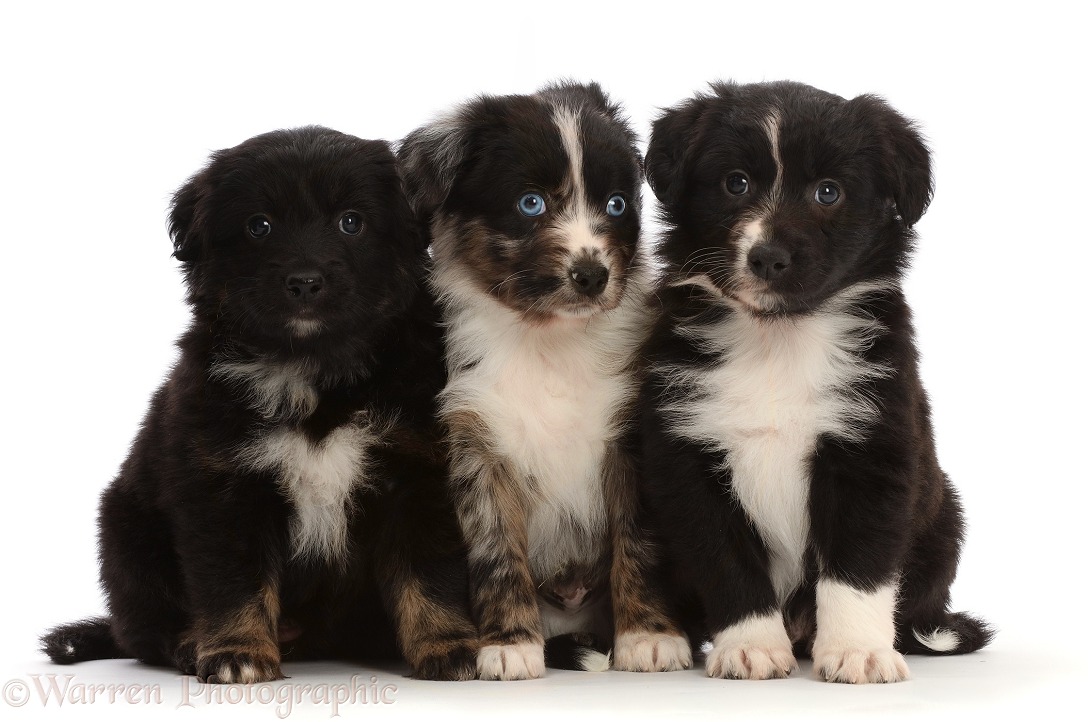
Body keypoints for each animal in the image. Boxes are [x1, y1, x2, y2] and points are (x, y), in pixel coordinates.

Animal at [41, 125, 476, 682]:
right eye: (259, 226)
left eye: (351, 221)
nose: (304, 282)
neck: (315, 371)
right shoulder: (223, 486)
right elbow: (233, 582)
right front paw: (237, 652)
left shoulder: (417, 474)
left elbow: (429, 573)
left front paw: (449, 645)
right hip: (126, 536)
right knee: (141, 630)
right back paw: (190, 644)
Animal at [398, 81, 687, 678]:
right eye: (530, 203)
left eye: (616, 204)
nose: (592, 275)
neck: (549, 340)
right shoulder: (477, 445)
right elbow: (496, 551)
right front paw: (509, 645)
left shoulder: (632, 439)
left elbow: (640, 542)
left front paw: (650, 637)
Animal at [635, 80, 996, 682]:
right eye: (736, 183)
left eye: (829, 192)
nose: (767, 257)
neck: (778, 339)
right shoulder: (688, 455)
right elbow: (727, 560)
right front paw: (751, 646)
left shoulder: (869, 447)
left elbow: (858, 567)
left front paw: (857, 651)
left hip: (946, 517)